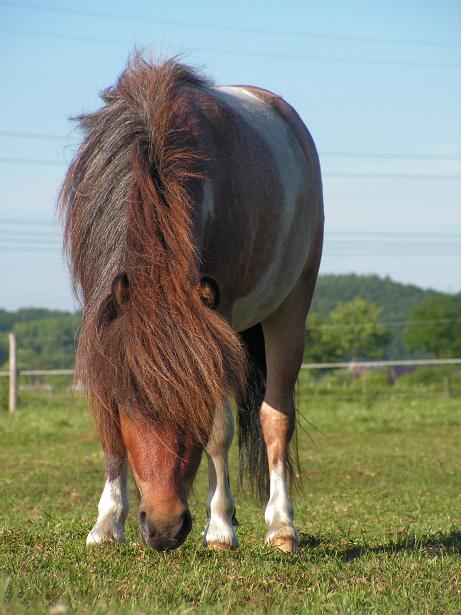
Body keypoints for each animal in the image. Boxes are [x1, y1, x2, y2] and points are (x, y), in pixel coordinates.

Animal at [58, 54, 324, 552]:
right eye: (129, 403)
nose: (163, 528)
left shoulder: (215, 316)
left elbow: (219, 429)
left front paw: (220, 528)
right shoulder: (102, 314)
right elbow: (107, 422)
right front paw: (107, 522)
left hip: (290, 308)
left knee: (275, 417)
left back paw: (281, 526)